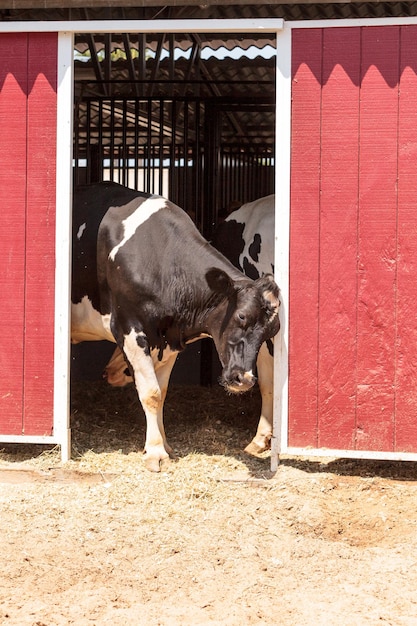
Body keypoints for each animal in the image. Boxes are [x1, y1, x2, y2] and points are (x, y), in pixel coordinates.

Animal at [71, 183, 280, 470]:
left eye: (272, 330)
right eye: (241, 316)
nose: (243, 379)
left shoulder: (169, 339)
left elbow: (162, 392)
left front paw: (163, 445)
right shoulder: (129, 328)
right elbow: (150, 393)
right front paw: (155, 452)